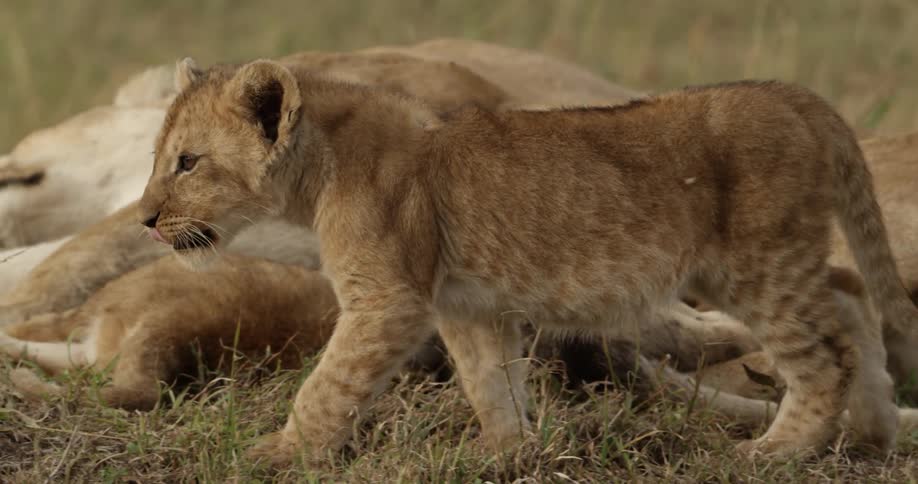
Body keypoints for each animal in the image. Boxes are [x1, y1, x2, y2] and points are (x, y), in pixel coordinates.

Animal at [137, 56, 915, 464]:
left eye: (187, 162)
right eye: (159, 160)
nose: (145, 220)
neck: (321, 166)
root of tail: (795, 95)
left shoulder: (389, 300)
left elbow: (328, 384)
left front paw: (278, 453)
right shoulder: (465, 301)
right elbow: (489, 380)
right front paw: (507, 454)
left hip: (755, 264)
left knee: (827, 353)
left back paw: (774, 452)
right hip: (776, 259)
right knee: (852, 293)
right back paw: (873, 432)